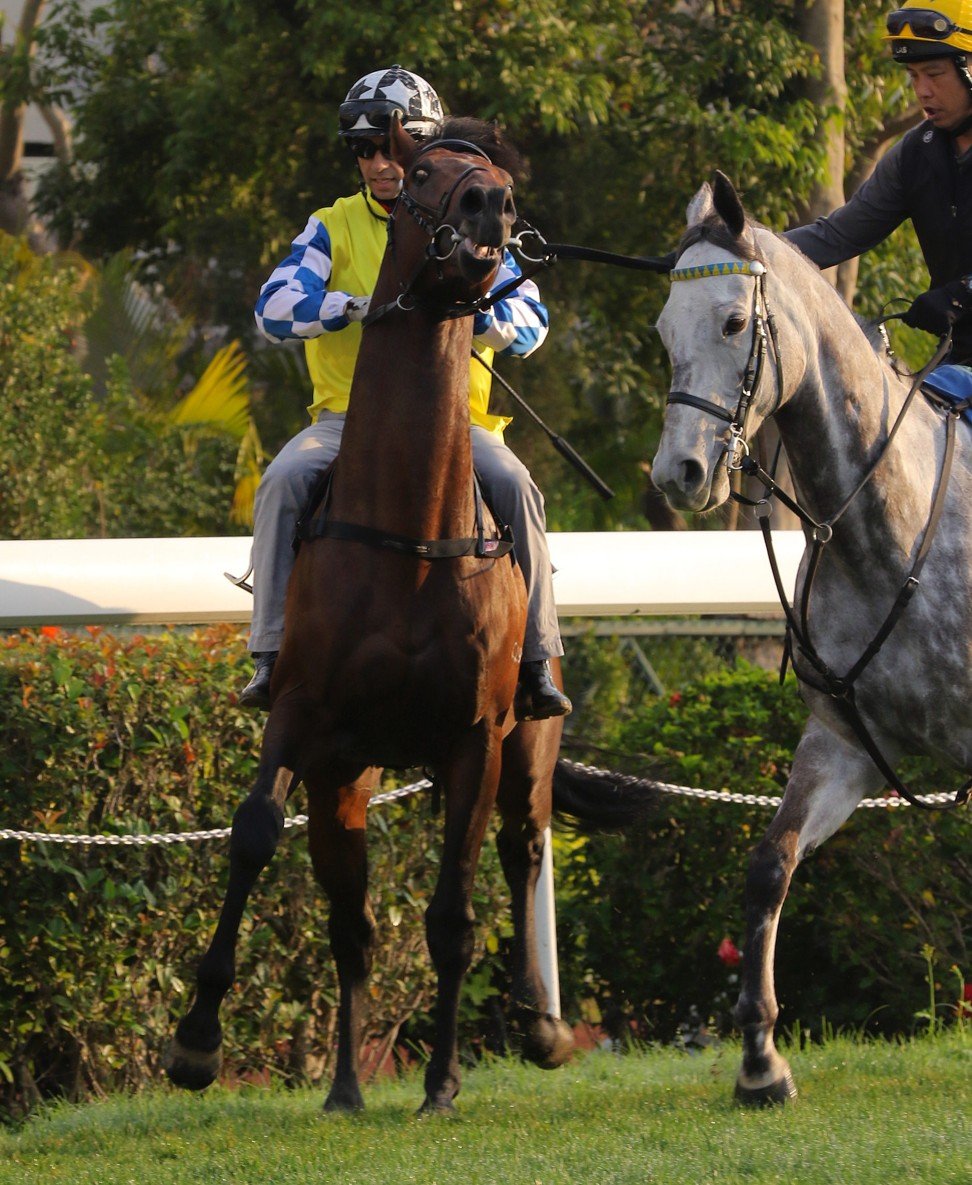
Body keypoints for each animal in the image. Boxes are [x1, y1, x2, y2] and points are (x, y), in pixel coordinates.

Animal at [164, 117, 573, 1109]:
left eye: (494, 172)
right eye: (420, 171)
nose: (491, 208)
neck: (409, 532)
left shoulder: (474, 735)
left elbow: (455, 910)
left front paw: (442, 1081)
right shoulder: (304, 715)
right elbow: (253, 834)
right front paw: (196, 1040)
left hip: (526, 742)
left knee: (525, 840)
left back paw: (538, 1022)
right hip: (346, 772)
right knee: (351, 919)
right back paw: (347, 1084)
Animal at [649, 171, 967, 1104]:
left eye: (731, 322)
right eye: (664, 331)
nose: (678, 475)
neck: (886, 529)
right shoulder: (842, 744)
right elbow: (770, 865)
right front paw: (761, 1059)